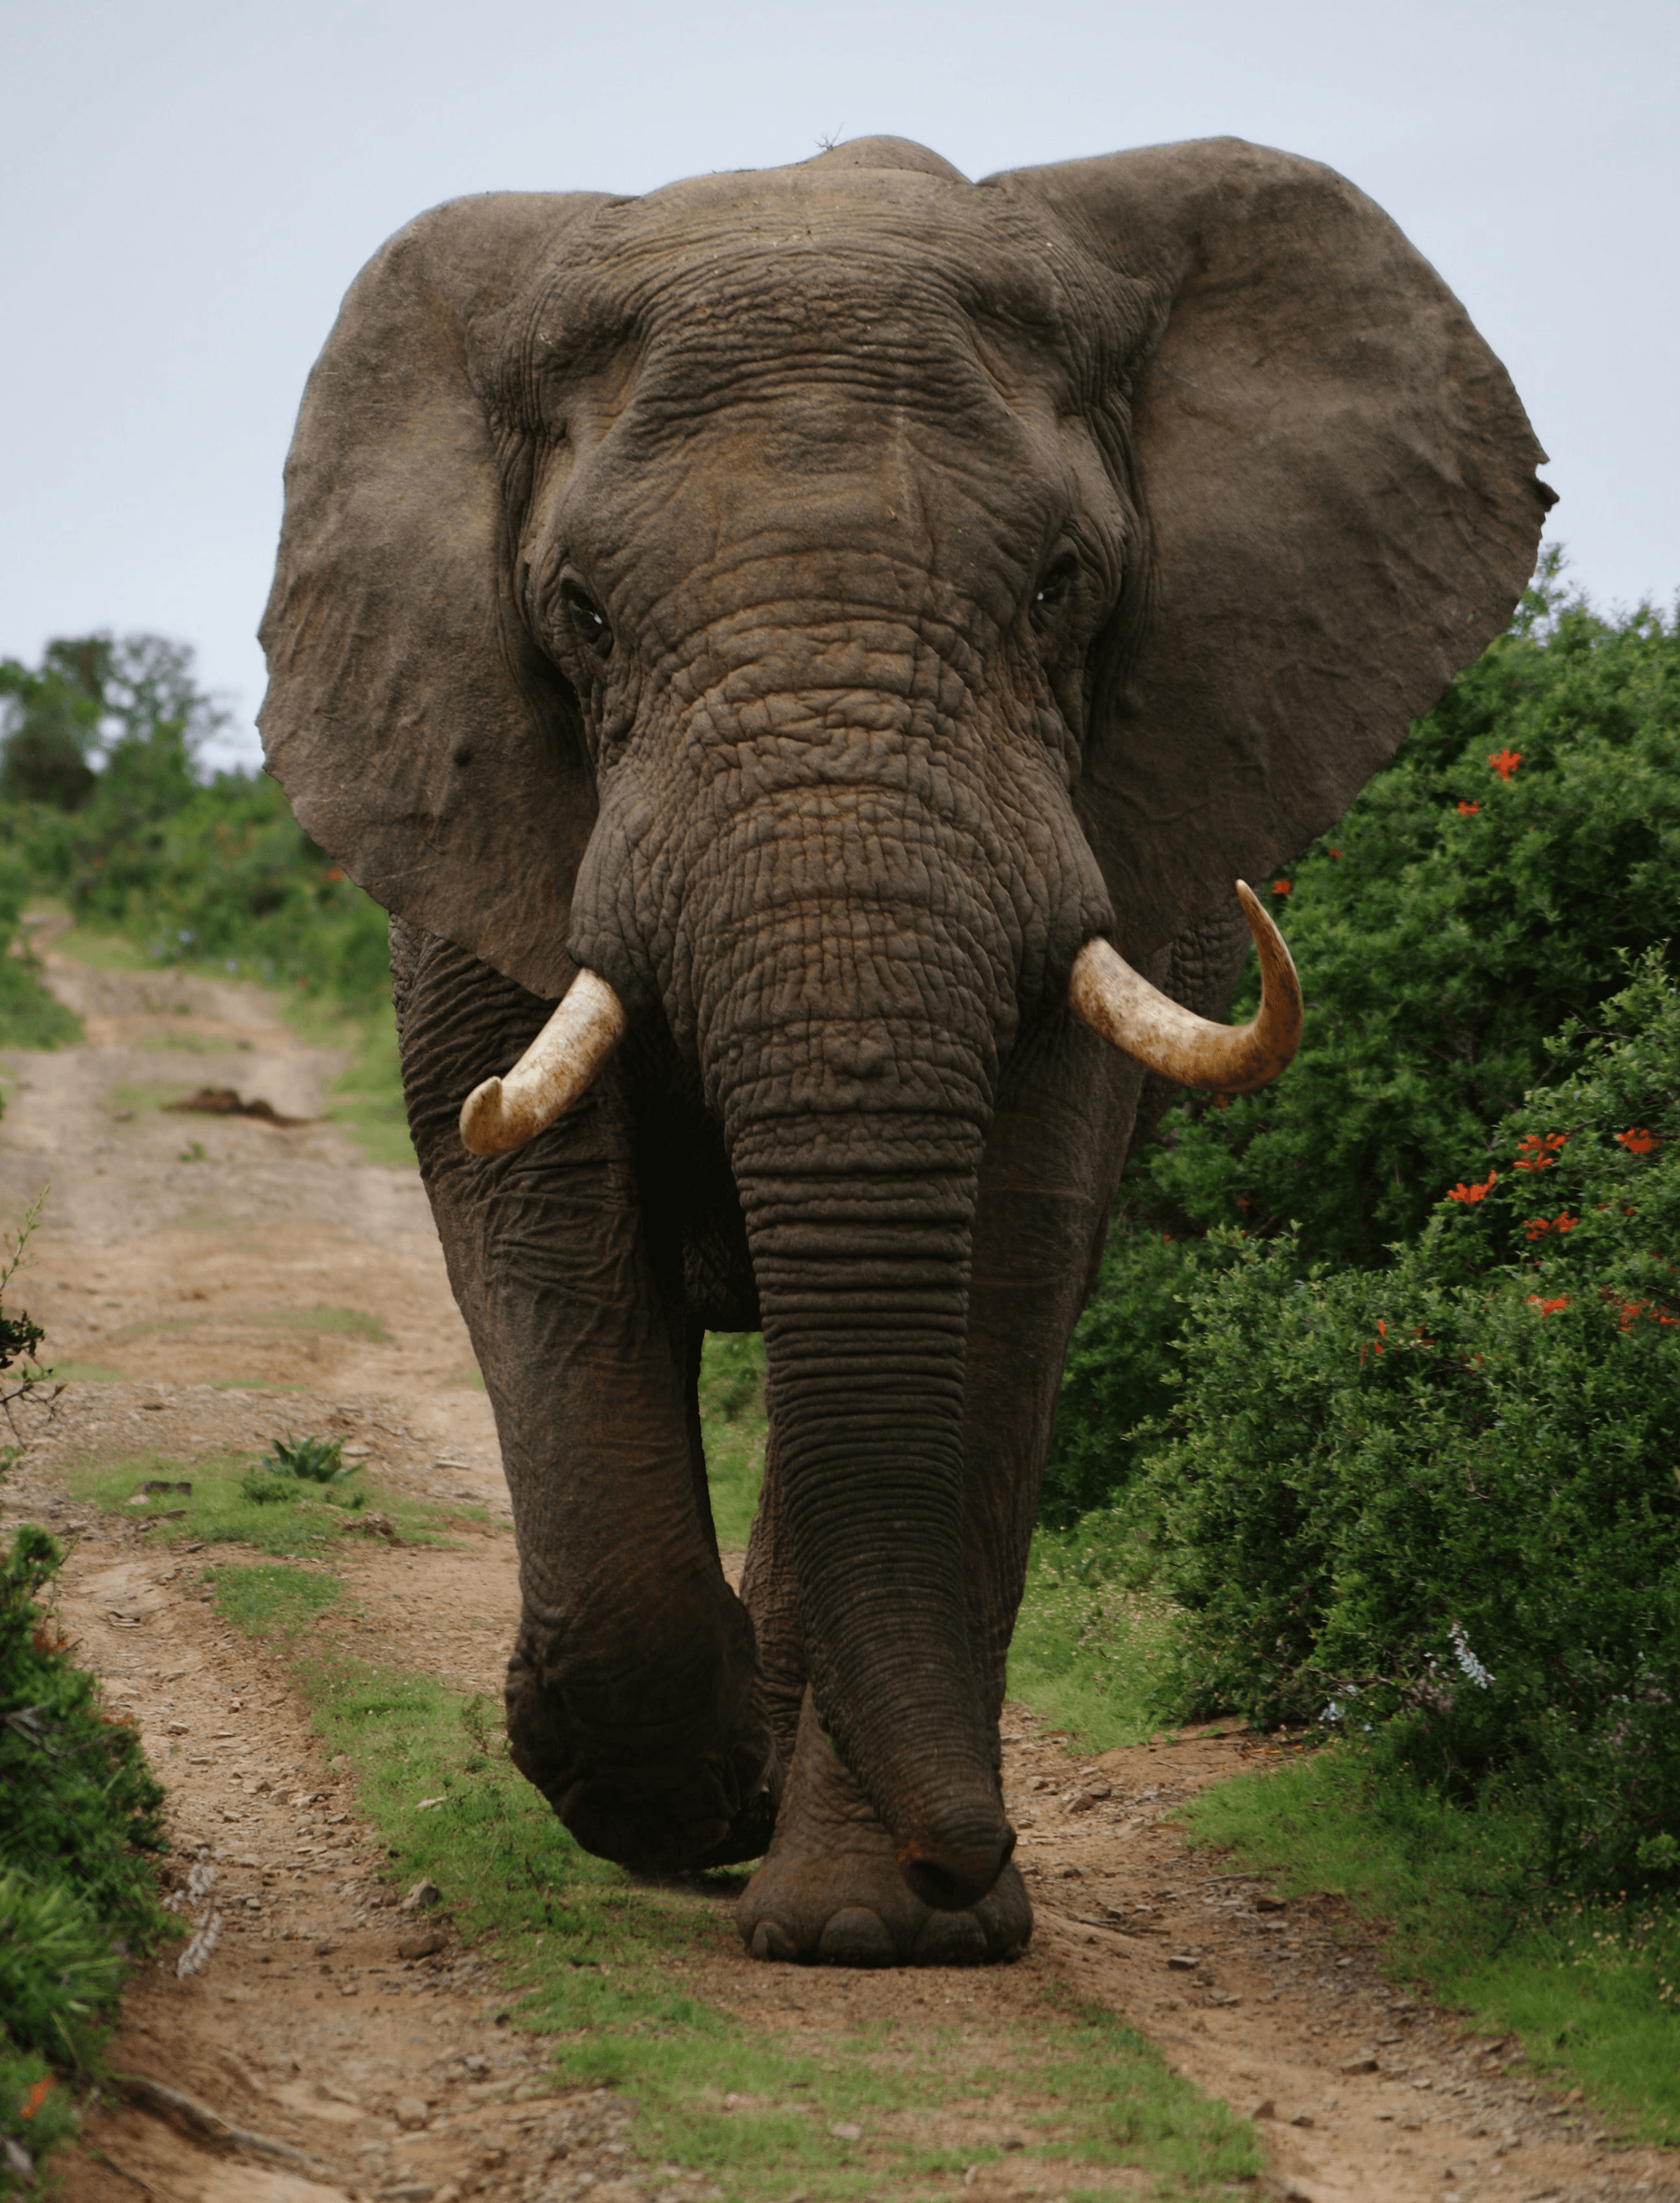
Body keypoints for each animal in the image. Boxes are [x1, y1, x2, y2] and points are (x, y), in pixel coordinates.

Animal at [259, 134, 1551, 1967]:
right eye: (580, 614)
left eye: (1063, 588)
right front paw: (676, 1794)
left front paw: (879, 1928)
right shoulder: (472, 794)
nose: (969, 1848)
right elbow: (536, 1217)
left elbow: (1005, 1249)